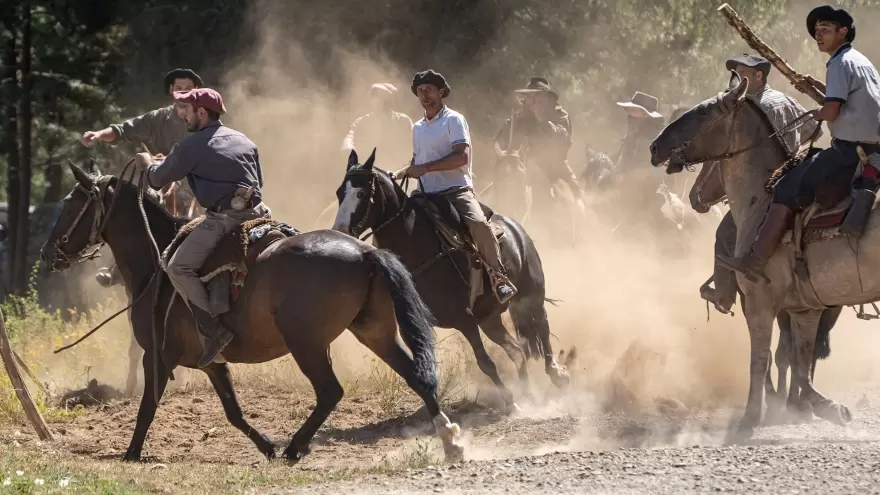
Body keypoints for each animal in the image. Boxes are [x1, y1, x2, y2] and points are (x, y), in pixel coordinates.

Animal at [41, 163, 464, 464]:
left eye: (71, 204)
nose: (47, 253)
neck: (157, 259)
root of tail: (364, 252)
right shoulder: (212, 363)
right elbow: (233, 411)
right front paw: (266, 446)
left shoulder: (156, 355)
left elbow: (148, 406)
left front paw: (131, 453)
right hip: (374, 331)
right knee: (416, 377)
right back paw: (450, 441)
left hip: (307, 344)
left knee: (331, 391)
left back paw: (295, 448)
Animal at [332, 149, 572, 412]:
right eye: (339, 192)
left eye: (361, 193)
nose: (340, 231)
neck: (417, 245)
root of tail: (515, 227)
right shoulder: (417, 324)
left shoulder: (464, 318)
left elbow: (485, 362)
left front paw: (509, 401)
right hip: (489, 318)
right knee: (518, 350)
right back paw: (527, 393)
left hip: (531, 296)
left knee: (542, 328)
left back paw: (557, 375)